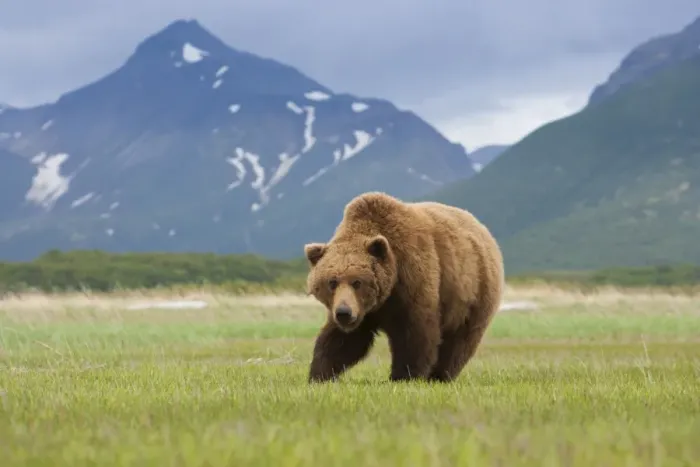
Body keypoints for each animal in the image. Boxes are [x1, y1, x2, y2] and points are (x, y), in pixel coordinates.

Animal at [303, 191, 504, 383]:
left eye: (357, 282)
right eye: (332, 282)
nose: (344, 313)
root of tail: (482, 228)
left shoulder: (412, 280)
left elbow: (415, 336)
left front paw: (403, 376)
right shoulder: (363, 311)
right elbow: (342, 341)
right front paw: (319, 374)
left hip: (473, 294)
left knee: (459, 342)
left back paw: (440, 375)